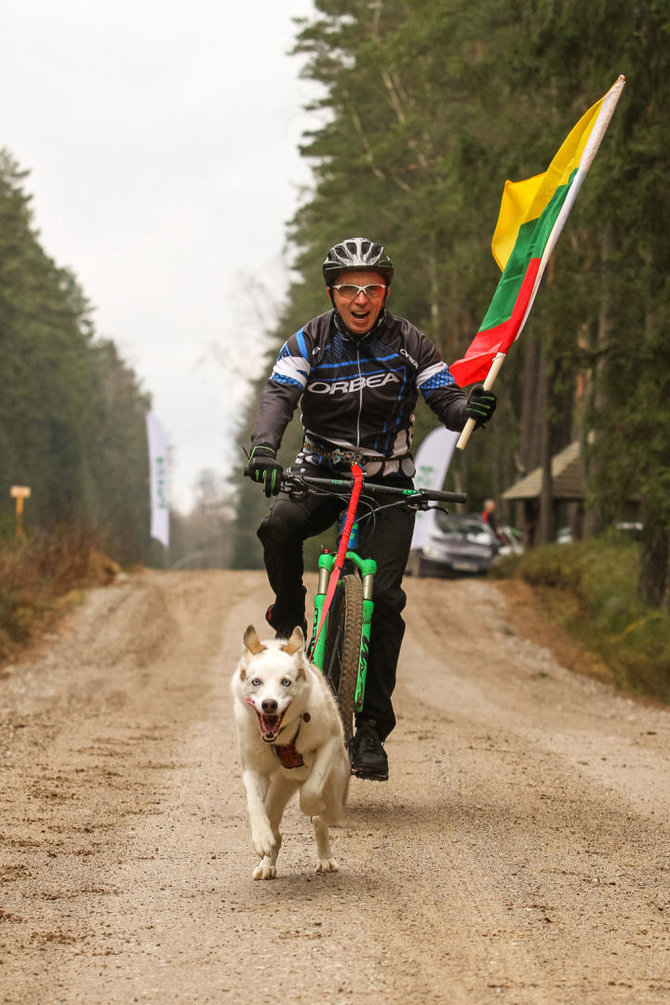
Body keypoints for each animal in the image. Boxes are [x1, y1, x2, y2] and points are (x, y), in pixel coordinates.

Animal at [232, 623, 351, 876]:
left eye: (285, 682)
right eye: (256, 682)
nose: (269, 704)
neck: (285, 735)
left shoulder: (330, 742)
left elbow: (311, 792)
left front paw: (313, 805)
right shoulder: (253, 767)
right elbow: (254, 803)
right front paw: (261, 838)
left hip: (336, 792)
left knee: (324, 817)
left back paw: (325, 857)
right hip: (278, 789)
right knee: (276, 829)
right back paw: (267, 863)